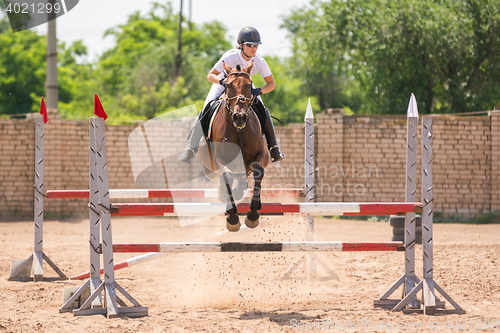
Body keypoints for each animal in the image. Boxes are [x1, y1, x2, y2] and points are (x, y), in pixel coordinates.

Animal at [199, 60, 270, 231]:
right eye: (228, 85)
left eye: (250, 85)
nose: (240, 117)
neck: (239, 130)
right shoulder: (220, 159)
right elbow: (227, 176)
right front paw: (232, 218)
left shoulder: (260, 155)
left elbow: (258, 172)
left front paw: (253, 215)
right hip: (209, 168)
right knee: (223, 177)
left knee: (242, 178)